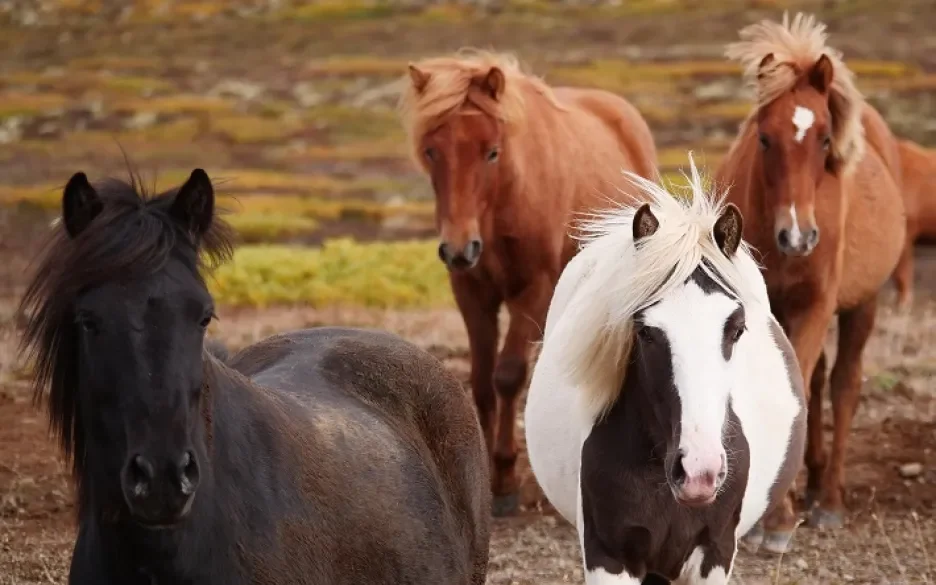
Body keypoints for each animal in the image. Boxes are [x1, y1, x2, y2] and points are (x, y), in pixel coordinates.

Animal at [396, 51, 660, 516]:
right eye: (431, 151)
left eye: (492, 152)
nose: (459, 249)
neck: (504, 202)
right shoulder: (472, 294)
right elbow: (482, 381)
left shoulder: (531, 292)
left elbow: (508, 375)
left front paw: (504, 478)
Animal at [712, 13, 904, 552]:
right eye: (764, 138)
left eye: (823, 139)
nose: (798, 236)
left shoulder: (818, 306)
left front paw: (778, 520)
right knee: (817, 381)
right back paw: (814, 482)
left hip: (862, 306)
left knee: (843, 384)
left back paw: (830, 499)